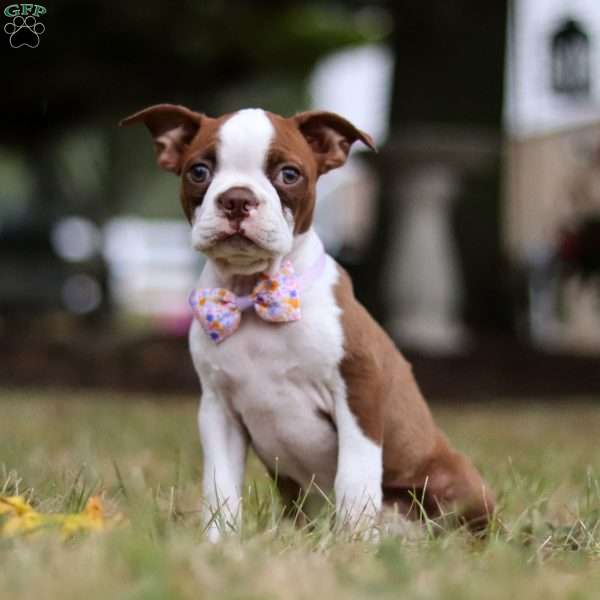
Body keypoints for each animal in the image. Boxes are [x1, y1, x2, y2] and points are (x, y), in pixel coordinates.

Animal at [120, 103, 492, 540]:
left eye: (289, 174)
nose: (237, 199)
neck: (254, 295)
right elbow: (220, 486)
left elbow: (355, 477)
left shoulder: (359, 389)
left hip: (457, 479)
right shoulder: (218, 410)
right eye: (198, 171)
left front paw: (354, 544)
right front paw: (219, 543)